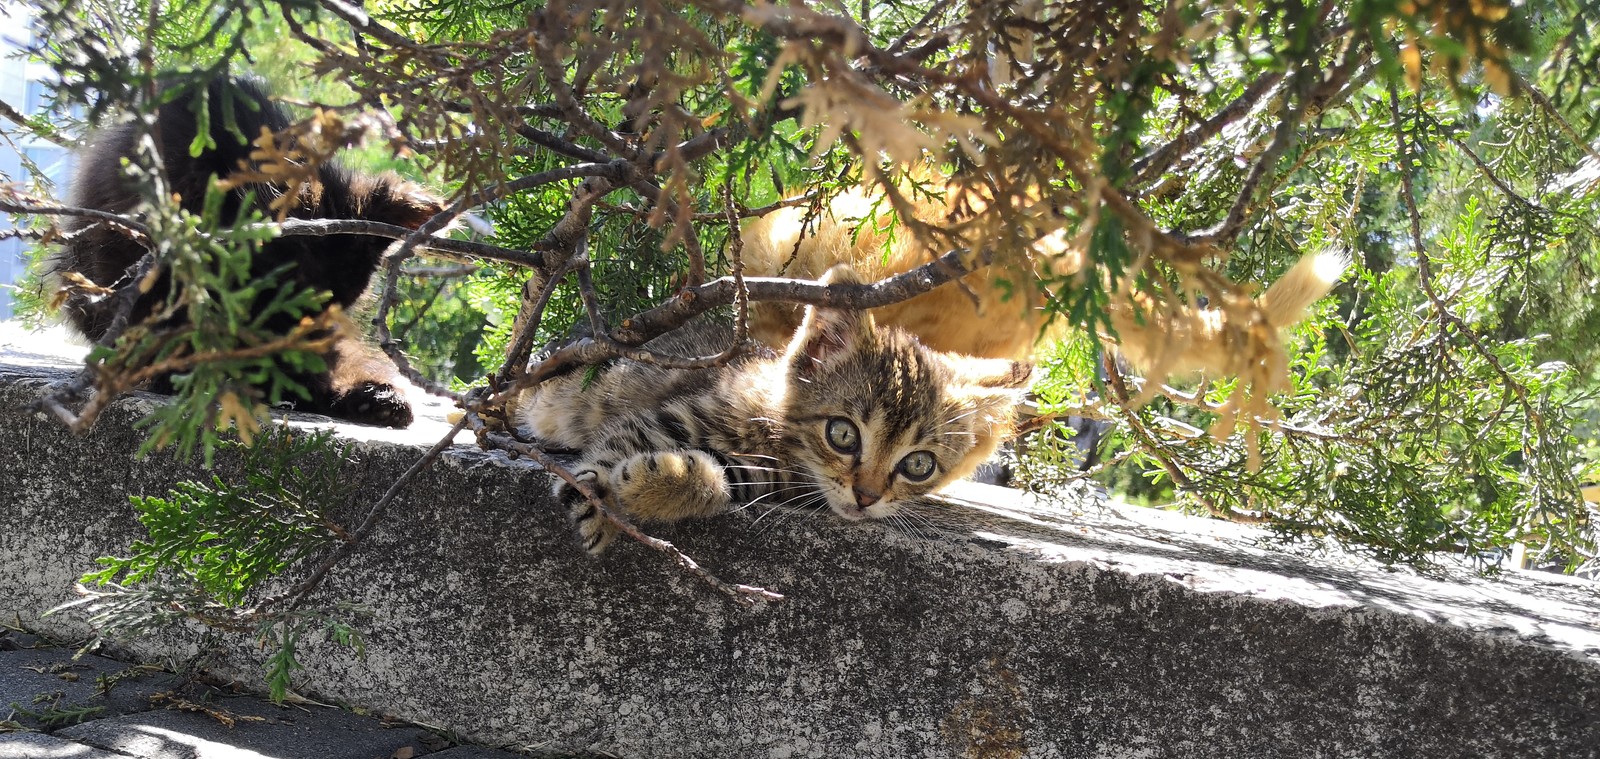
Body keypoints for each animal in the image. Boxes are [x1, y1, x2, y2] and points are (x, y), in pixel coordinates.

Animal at [518, 265, 1030, 550]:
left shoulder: (778, 481)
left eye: (918, 465)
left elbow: (729, 476)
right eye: (843, 434)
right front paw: (595, 500)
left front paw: (658, 484)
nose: (866, 497)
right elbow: (623, 439)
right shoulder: (681, 410)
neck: (784, 442)